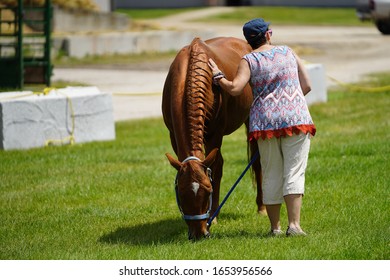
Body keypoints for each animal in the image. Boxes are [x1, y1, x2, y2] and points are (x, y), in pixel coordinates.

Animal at [161, 36, 266, 240]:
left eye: (208, 190)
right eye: (180, 192)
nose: (199, 233)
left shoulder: (215, 134)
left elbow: (215, 168)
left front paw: (214, 217)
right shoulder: (172, 135)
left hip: (251, 120)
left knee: (257, 162)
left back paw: (262, 207)